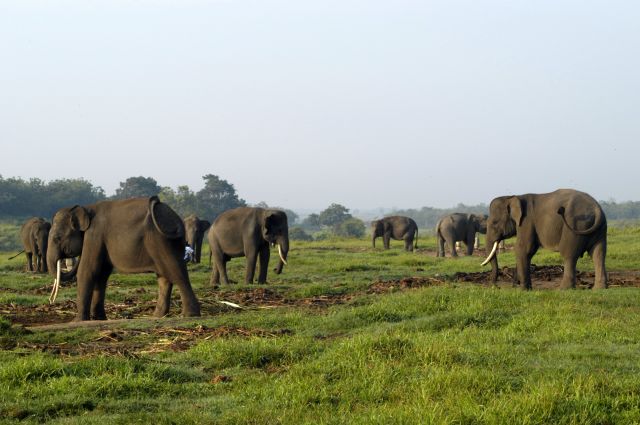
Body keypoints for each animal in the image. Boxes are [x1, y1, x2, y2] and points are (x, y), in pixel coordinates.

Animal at [46, 197, 200, 320]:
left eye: (57, 238)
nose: (50, 301)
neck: (86, 208)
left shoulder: (94, 235)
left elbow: (88, 271)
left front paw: (78, 321)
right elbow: (101, 274)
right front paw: (99, 318)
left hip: (161, 242)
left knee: (177, 273)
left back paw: (189, 315)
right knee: (164, 277)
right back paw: (157, 316)